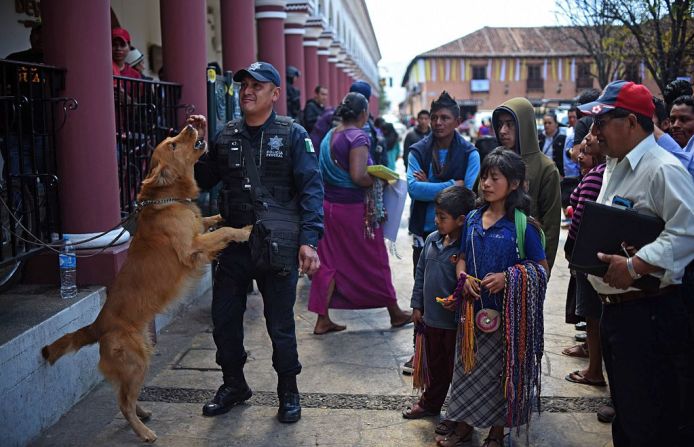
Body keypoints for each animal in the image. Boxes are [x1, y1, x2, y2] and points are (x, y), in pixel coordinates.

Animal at [42, 124, 251, 442]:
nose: (192, 125)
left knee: (123, 396)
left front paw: (228, 216)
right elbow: (224, 231)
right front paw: (245, 230)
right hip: (137, 360)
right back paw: (144, 432)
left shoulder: (198, 229)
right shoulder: (191, 247)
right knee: (123, 402)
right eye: (173, 145)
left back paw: (142, 413)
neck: (169, 198)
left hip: (141, 356)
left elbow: (213, 219)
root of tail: (97, 326)